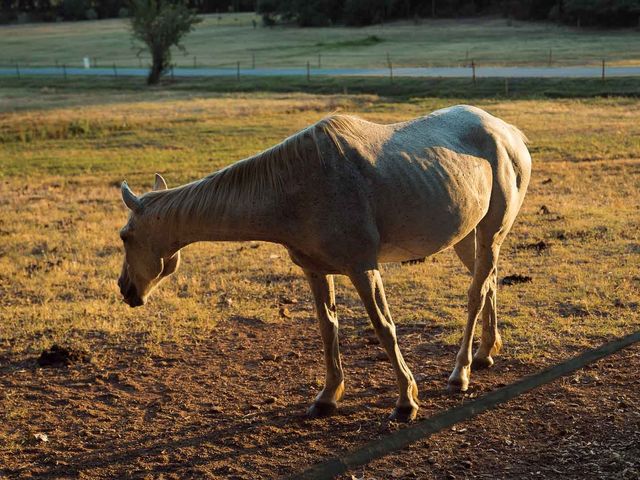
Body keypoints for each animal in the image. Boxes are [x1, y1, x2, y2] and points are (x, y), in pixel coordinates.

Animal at [116, 104, 528, 420]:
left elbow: (384, 328)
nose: (125, 289)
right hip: (468, 238)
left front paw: (406, 401)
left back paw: (461, 372)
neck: (296, 186)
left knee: (476, 293)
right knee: (488, 282)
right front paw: (328, 397)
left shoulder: (363, 268)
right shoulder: (315, 271)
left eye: (125, 236)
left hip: (490, 233)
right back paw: (485, 353)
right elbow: (327, 328)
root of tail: (508, 133)